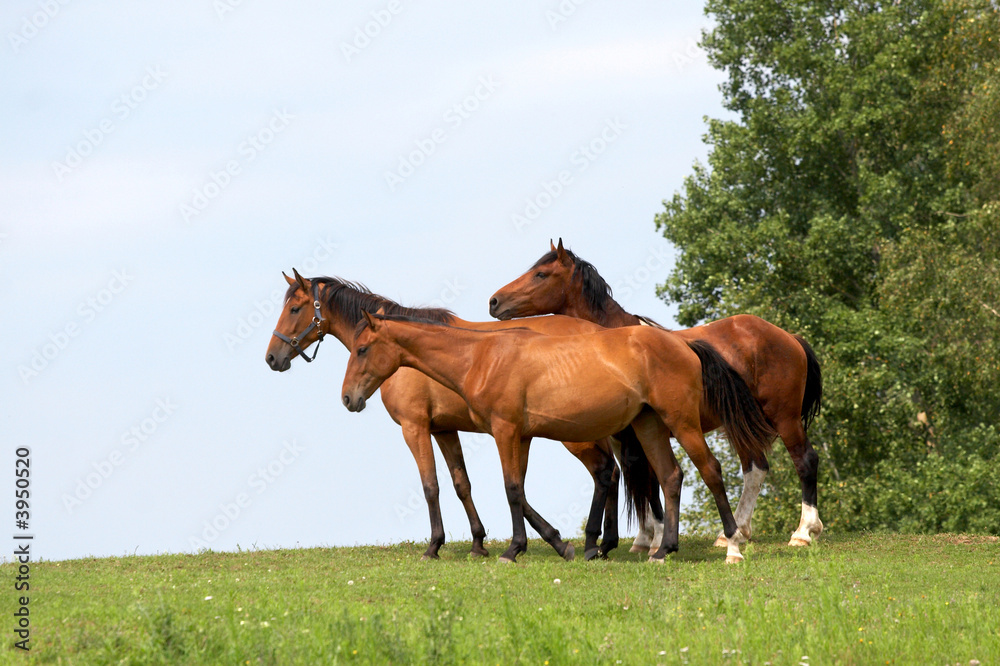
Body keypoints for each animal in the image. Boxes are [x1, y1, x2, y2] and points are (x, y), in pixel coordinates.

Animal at [265, 270, 621, 561]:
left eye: (294, 309)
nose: (272, 357)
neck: (406, 353)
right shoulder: (444, 429)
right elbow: (463, 483)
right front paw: (479, 543)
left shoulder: (415, 427)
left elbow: (431, 485)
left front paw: (435, 545)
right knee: (613, 473)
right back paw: (604, 545)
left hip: (575, 433)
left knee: (603, 472)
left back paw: (593, 543)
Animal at [342, 311, 776, 564]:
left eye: (362, 349)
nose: (348, 398)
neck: (482, 356)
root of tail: (682, 343)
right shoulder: (521, 436)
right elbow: (519, 490)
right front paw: (557, 544)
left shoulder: (504, 431)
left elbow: (511, 489)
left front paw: (513, 550)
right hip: (650, 425)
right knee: (670, 477)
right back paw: (662, 550)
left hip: (681, 422)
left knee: (711, 470)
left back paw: (733, 545)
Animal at [488, 239, 825, 548]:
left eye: (541, 274)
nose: (494, 301)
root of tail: (788, 337)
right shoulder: (624, 437)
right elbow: (641, 479)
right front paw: (645, 537)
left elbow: (651, 480)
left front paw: (657, 538)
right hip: (740, 426)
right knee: (755, 469)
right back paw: (735, 533)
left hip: (785, 418)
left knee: (805, 460)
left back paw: (803, 532)